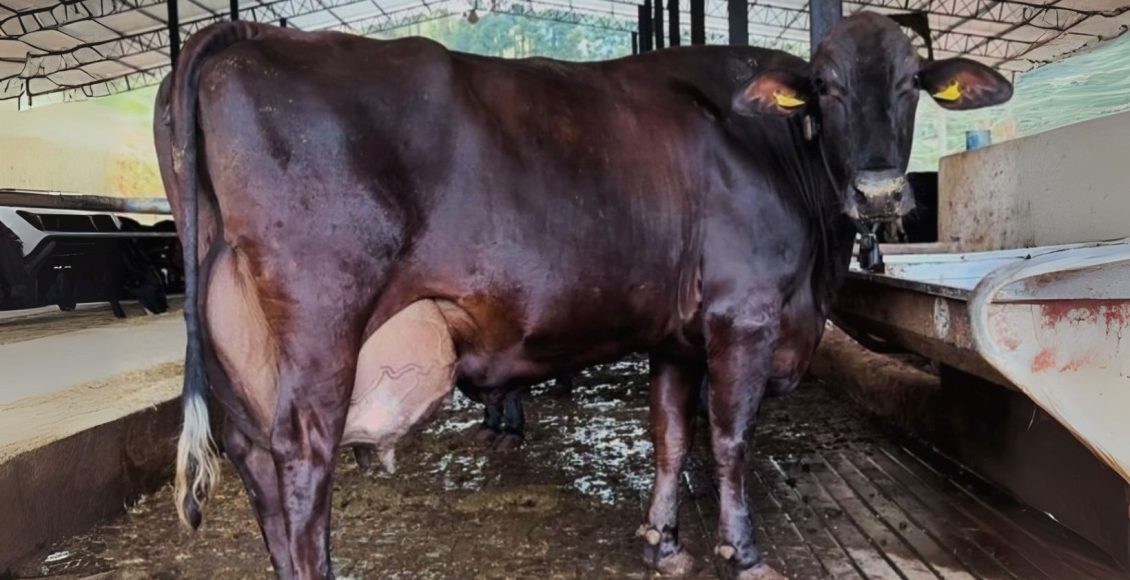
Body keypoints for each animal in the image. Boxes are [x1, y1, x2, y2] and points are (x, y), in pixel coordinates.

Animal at [155, 13, 1010, 579]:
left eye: (911, 85)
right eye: (826, 88)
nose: (880, 191)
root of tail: (243, 32)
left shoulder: (677, 335)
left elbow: (671, 435)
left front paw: (664, 543)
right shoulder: (744, 314)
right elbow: (731, 437)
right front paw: (743, 552)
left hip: (238, 342)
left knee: (253, 460)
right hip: (321, 315)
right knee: (302, 462)